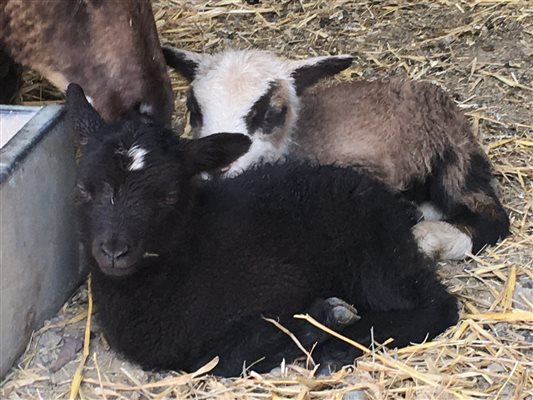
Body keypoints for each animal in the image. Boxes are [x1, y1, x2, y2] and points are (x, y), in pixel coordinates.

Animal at [66, 83, 458, 376]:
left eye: (168, 195)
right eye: (84, 188)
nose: (114, 251)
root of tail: (389, 199)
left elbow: (230, 357)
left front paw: (325, 318)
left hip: (374, 254)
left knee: (437, 304)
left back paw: (340, 348)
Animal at [161, 47, 508, 260]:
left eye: (273, 112)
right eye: (194, 110)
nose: (216, 165)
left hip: (452, 160)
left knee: (492, 217)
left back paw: (433, 238)